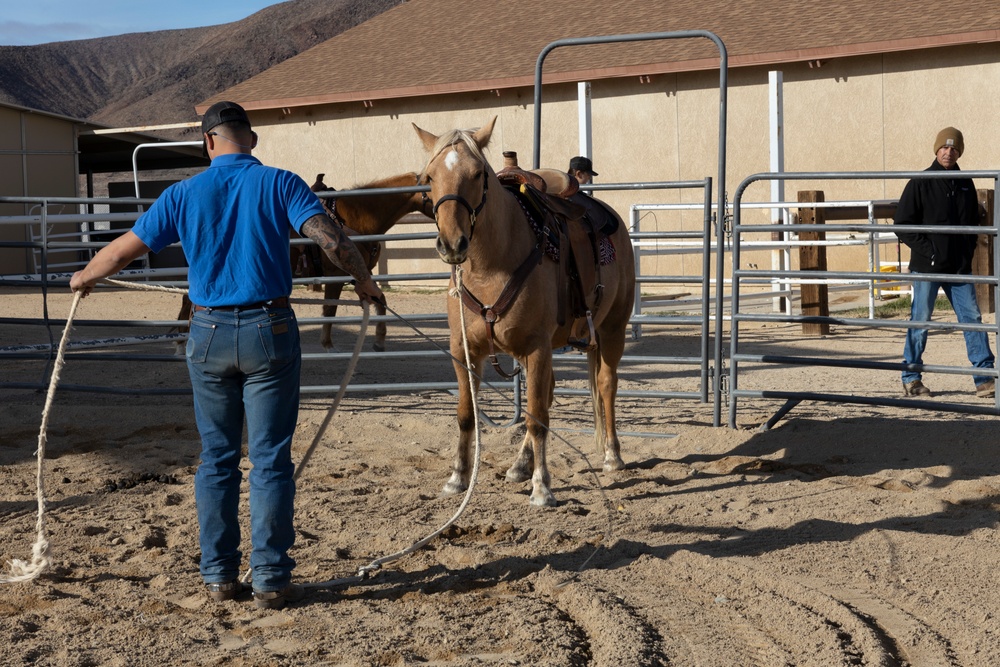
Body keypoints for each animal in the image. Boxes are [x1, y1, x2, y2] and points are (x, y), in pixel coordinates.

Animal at [174, 171, 428, 350]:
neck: (356, 215)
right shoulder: (337, 276)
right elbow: (329, 309)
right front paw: (328, 345)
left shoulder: (362, 274)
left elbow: (380, 299)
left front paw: (380, 340)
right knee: (188, 300)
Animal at [412, 118, 632, 506]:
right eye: (429, 177)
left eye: (478, 174)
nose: (452, 244)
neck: (492, 265)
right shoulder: (464, 351)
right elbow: (467, 415)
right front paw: (457, 477)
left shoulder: (537, 348)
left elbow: (536, 417)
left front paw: (542, 487)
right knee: (547, 394)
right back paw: (520, 464)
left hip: (612, 330)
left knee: (606, 384)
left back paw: (611, 455)